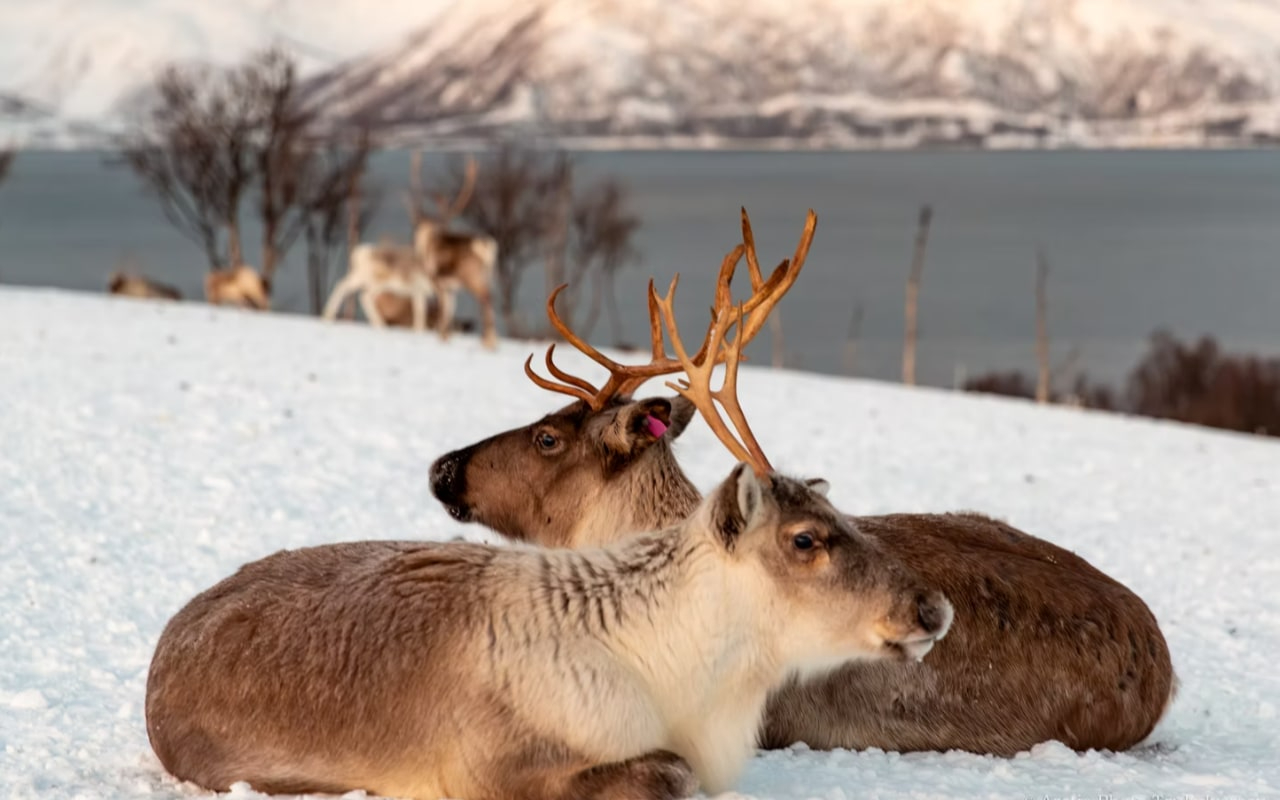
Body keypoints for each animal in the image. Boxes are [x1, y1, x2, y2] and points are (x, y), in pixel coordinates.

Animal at [144, 289, 953, 800]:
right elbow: (669, 772)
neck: (683, 675)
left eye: (842, 517)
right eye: (806, 537)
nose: (934, 609)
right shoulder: (492, 769)